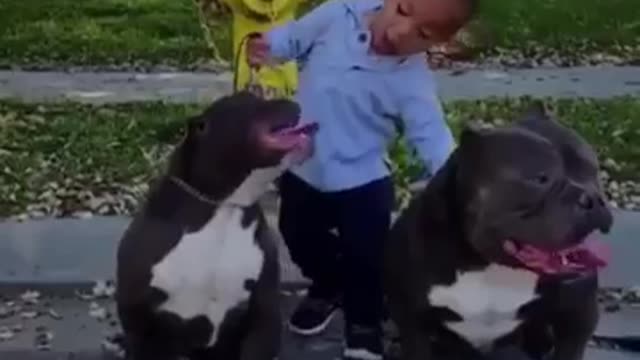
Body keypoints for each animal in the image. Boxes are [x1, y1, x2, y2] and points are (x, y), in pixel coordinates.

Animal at [384, 102, 616, 360]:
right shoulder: (413, 323)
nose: (593, 198)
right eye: (540, 178)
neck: (491, 267)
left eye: (593, 170)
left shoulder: (577, 316)